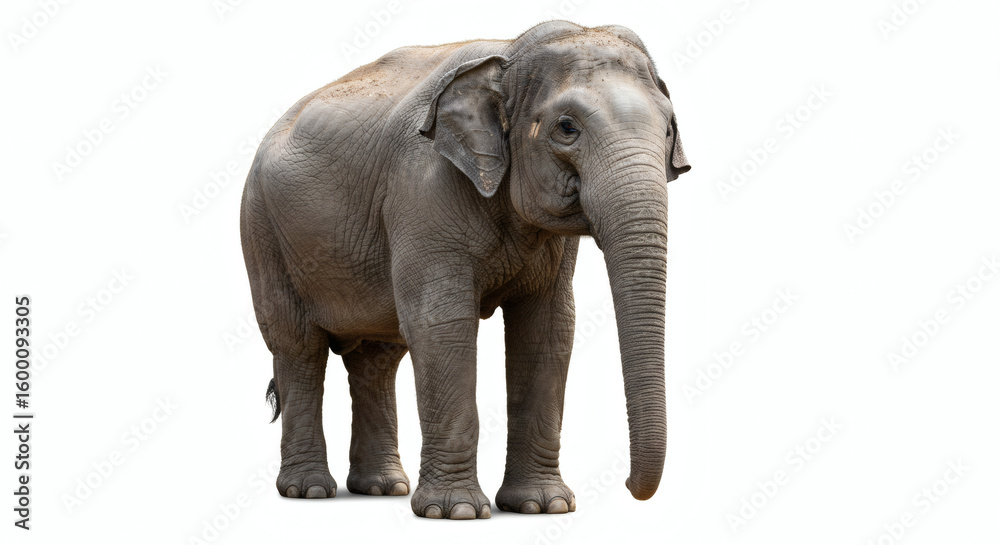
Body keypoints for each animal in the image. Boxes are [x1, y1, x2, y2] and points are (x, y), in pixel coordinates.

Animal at [240, 19, 690, 520]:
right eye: (567, 128)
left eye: (668, 130)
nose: (631, 486)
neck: (509, 53)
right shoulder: (422, 190)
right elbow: (441, 325)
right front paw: (455, 512)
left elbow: (548, 328)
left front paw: (543, 506)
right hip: (263, 232)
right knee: (299, 347)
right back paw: (310, 491)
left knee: (376, 358)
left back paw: (380, 488)